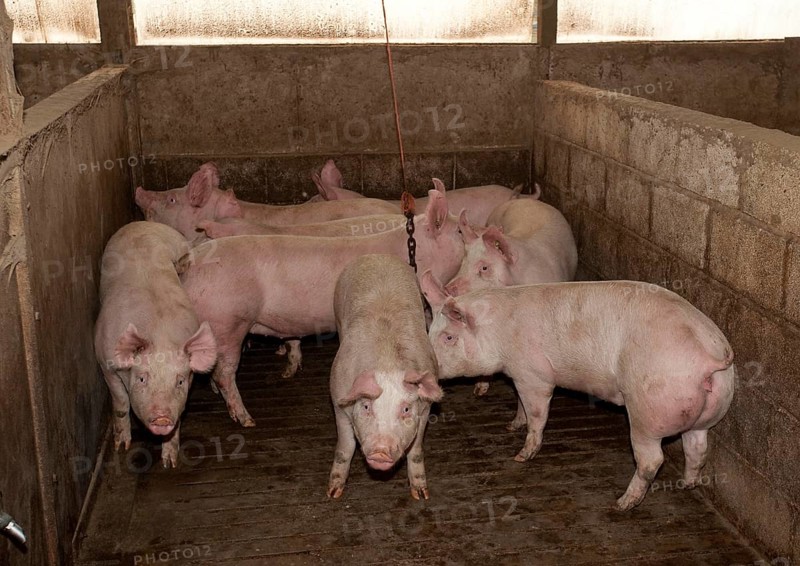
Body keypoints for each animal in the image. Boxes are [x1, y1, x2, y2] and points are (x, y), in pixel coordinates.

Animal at [94, 222, 218, 467]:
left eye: (179, 381)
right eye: (142, 378)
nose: (162, 417)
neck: (160, 337)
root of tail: (142, 223)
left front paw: (169, 463)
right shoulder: (105, 361)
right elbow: (121, 402)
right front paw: (121, 446)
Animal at [179, 188, 463, 427]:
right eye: (460, 232)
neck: (411, 252)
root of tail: (190, 261)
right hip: (228, 322)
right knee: (224, 372)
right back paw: (247, 420)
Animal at [328, 255, 443, 500]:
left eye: (406, 409)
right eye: (366, 406)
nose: (381, 450)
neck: (387, 364)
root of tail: (377, 255)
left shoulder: (425, 410)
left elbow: (416, 451)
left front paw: (421, 495)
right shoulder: (338, 402)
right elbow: (345, 448)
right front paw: (333, 493)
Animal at [421, 275, 735, 510]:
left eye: (448, 337)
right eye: (430, 331)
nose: (425, 376)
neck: (499, 333)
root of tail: (710, 355)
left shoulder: (534, 375)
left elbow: (536, 413)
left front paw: (521, 456)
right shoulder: (517, 374)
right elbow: (520, 404)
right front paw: (512, 425)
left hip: (648, 411)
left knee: (652, 460)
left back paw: (622, 504)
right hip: (710, 411)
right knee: (697, 448)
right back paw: (687, 484)